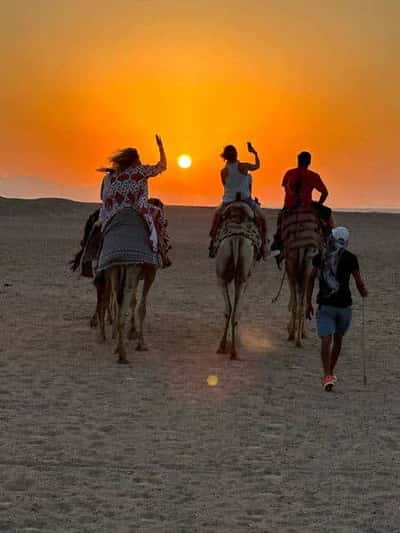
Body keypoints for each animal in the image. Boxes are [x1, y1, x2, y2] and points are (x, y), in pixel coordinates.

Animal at [214, 202, 258, 360]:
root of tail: (236, 239)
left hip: (223, 274)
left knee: (230, 309)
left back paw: (227, 348)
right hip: (238, 276)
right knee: (234, 310)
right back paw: (230, 348)